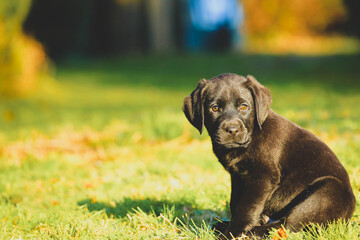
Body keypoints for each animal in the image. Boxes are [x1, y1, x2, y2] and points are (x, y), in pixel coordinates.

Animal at [183, 74, 354, 239]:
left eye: (244, 106)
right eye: (215, 108)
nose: (232, 130)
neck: (252, 135)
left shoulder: (263, 175)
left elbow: (247, 206)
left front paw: (234, 232)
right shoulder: (237, 176)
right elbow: (235, 202)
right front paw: (232, 226)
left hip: (326, 191)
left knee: (289, 226)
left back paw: (254, 231)